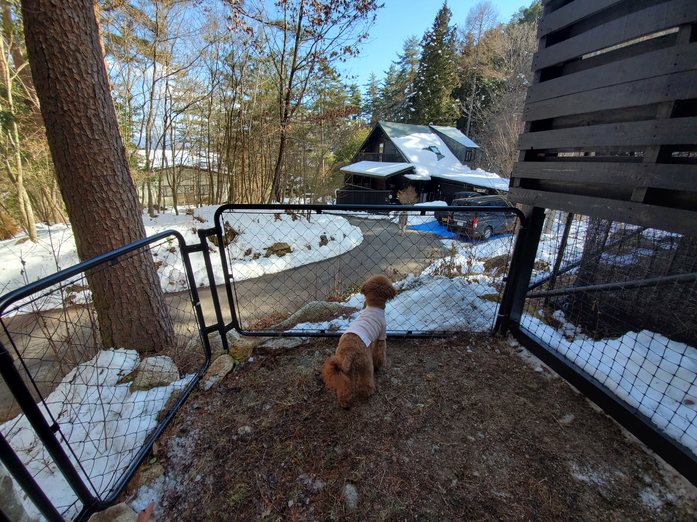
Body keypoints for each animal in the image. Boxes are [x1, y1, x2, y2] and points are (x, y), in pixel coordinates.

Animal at [322, 274, 394, 404]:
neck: (374, 306)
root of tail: (348, 352)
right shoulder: (381, 336)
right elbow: (379, 353)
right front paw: (379, 365)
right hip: (364, 364)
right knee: (365, 380)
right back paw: (368, 392)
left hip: (346, 369)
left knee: (345, 385)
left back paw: (345, 402)